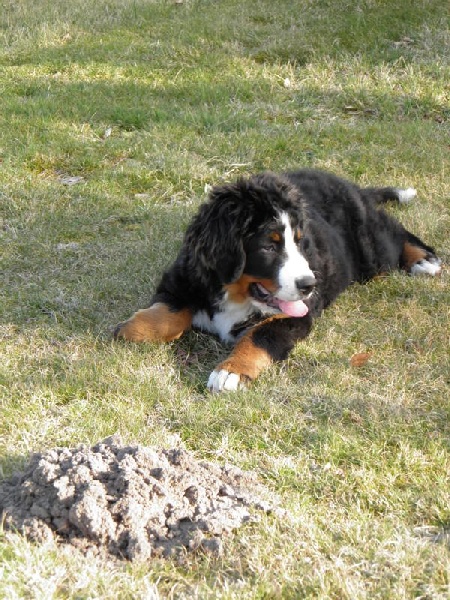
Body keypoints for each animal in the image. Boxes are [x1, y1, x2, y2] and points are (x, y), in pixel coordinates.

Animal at [114, 169, 442, 394]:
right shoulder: (186, 275)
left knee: (393, 232)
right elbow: (168, 310)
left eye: (300, 242)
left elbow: (259, 337)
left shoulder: (296, 315)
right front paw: (131, 329)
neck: (237, 295)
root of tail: (348, 184)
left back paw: (423, 259)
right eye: (269, 247)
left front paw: (231, 371)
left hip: (373, 254)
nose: (309, 285)